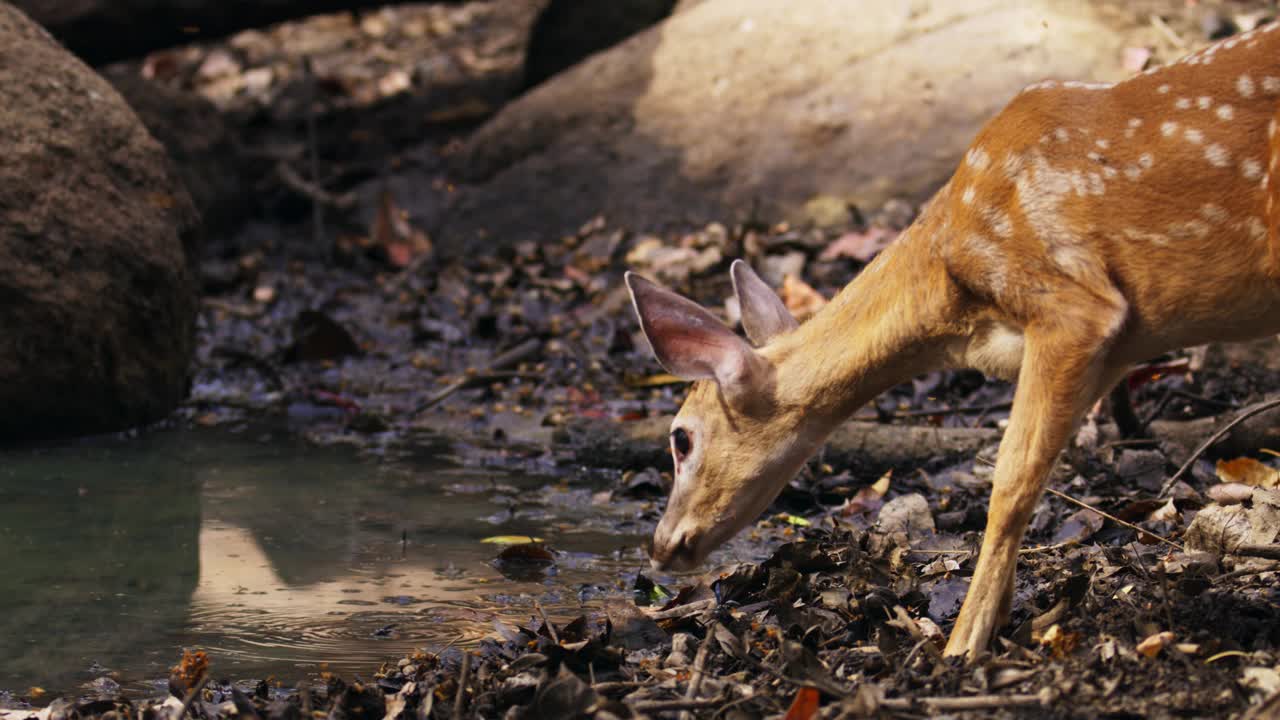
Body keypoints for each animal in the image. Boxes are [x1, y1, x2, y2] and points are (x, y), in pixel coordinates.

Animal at [624, 19, 1280, 661]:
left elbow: (1011, 476)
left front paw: (962, 644)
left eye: (681, 438)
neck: (955, 304)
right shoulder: (1108, 352)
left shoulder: (1072, 305)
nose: (661, 545)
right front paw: (1005, 618)